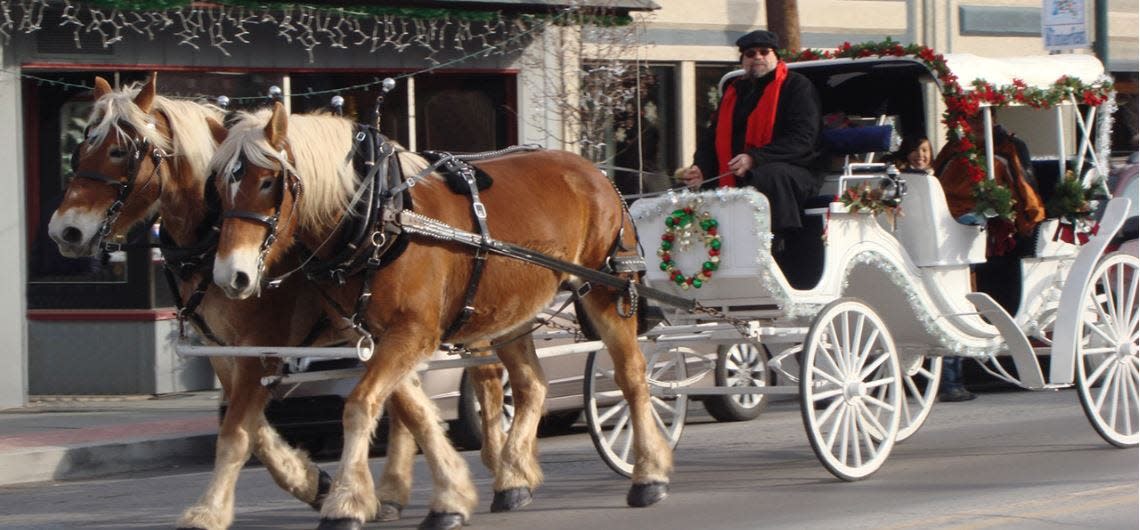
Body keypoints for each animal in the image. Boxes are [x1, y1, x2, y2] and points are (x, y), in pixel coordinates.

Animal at [46, 74, 503, 528]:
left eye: (119, 151)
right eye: (80, 148)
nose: (64, 230)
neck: (213, 229)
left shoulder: (260, 343)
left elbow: (237, 431)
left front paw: (210, 510)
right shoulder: (225, 350)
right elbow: (254, 428)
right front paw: (314, 482)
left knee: (488, 375)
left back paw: (501, 469)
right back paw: (397, 490)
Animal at [210, 102, 670, 528]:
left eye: (267, 181)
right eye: (219, 186)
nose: (231, 275)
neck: (381, 214)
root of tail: (595, 172)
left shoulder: (415, 332)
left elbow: (360, 405)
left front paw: (346, 503)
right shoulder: (379, 336)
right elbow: (410, 411)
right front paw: (447, 494)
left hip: (608, 290)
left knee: (631, 375)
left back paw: (648, 474)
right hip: (514, 311)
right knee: (531, 386)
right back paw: (512, 480)